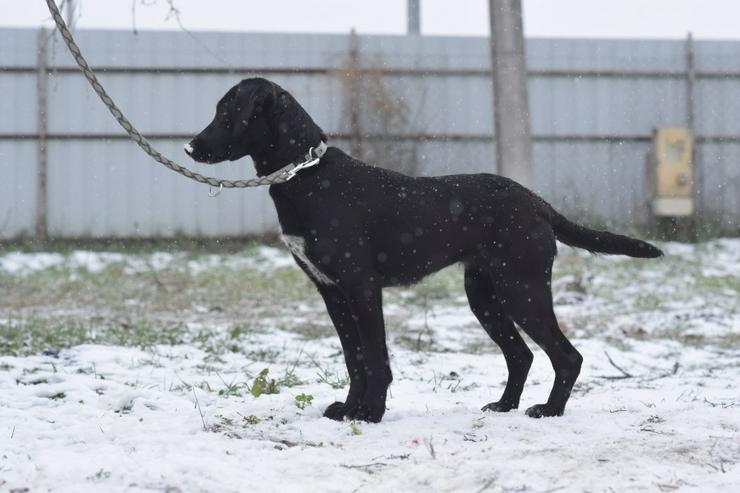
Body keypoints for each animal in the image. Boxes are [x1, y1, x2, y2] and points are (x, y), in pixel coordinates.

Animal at [186, 78, 664, 422]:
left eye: (227, 113)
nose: (190, 147)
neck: (308, 175)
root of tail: (537, 203)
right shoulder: (332, 293)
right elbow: (354, 358)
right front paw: (349, 409)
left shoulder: (362, 288)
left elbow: (375, 358)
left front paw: (371, 414)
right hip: (484, 295)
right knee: (521, 354)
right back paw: (504, 406)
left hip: (522, 289)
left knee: (567, 356)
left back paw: (550, 411)